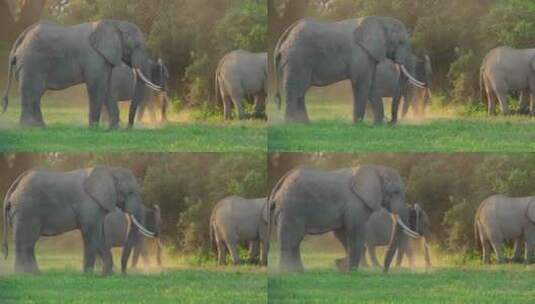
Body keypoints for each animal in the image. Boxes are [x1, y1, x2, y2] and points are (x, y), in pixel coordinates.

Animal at [2, 19, 162, 128]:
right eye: (137, 46)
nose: (129, 128)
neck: (115, 23)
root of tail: (21, 38)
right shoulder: (95, 57)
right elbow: (97, 87)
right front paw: (94, 129)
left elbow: (107, 87)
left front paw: (112, 130)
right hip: (32, 63)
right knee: (32, 92)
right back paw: (30, 128)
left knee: (35, 94)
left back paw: (40, 127)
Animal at [2, 166, 156, 276]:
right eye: (130, 192)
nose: (124, 275)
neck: (110, 170)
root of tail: (16, 185)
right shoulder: (89, 204)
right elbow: (91, 235)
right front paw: (88, 275)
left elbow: (100, 236)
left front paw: (107, 275)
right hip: (27, 210)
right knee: (27, 242)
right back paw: (25, 275)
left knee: (29, 244)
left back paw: (35, 274)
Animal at [270, 165, 408, 272]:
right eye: (396, 192)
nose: (383, 272)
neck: (376, 169)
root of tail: (282, 182)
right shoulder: (354, 204)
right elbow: (354, 233)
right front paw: (351, 271)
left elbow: (342, 233)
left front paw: (342, 266)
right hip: (291, 209)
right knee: (291, 240)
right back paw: (288, 273)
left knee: (295, 242)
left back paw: (298, 272)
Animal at [274, 16, 426, 123]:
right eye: (401, 43)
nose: (390, 122)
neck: (380, 20)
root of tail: (285, 36)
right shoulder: (360, 54)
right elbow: (362, 83)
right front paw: (357, 124)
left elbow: (371, 85)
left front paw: (377, 125)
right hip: (297, 59)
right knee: (295, 89)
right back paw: (292, 125)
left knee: (300, 91)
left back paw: (304, 124)